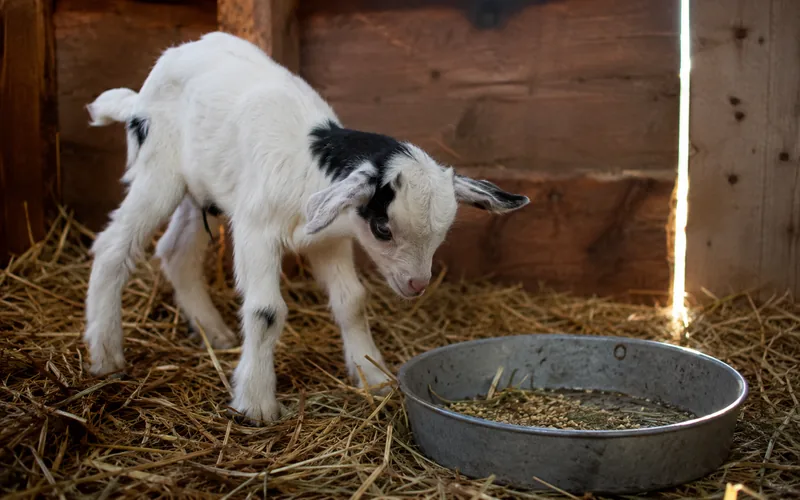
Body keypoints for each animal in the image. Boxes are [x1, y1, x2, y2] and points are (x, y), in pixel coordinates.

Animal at [83, 32, 529, 423]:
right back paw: (105, 353)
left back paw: (215, 333)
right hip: (158, 170)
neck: (307, 162)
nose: (417, 284)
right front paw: (257, 403)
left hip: (203, 188)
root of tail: (140, 95)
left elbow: (352, 301)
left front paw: (373, 376)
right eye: (382, 228)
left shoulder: (328, 240)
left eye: (441, 235)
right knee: (113, 246)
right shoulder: (255, 230)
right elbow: (265, 311)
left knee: (176, 251)